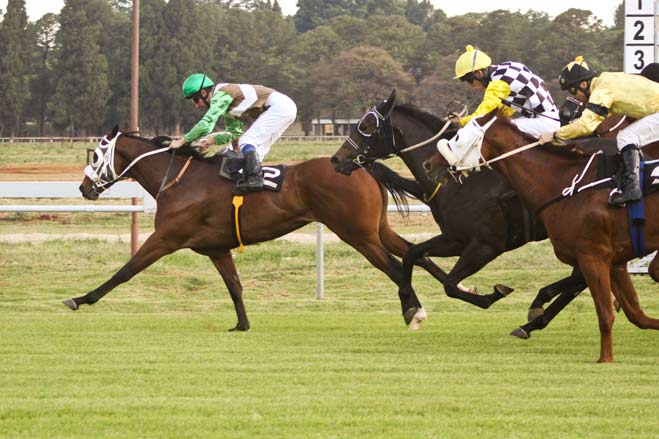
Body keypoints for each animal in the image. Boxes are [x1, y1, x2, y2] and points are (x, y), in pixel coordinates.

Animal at [64, 125, 452, 331]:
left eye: (96, 156)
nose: (83, 188)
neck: (178, 178)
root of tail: (360, 166)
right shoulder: (216, 248)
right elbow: (234, 285)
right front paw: (242, 324)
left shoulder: (167, 237)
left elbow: (125, 271)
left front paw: (81, 299)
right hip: (376, 228)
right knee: (415, 256)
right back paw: (461, 292)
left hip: (357, 234)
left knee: (396, 269)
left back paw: (414, 311)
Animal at [330, 90, 587, 338]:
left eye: (367, 127)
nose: (336, 159)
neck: (459, 180)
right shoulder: (455, 239)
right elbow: (413, 253)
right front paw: (410, 309)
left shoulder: (486, 245)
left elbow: (450, 285)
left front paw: (492, 295)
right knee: (579, 278)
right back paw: (533, 320)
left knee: (579, 278)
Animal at [423, 110, 659, 362]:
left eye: (458, 137)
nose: (429, 164)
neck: (567, 184)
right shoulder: (614, 261)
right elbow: (636, 314)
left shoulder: (592, 257)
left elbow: (605, 313)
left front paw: (604, 359)